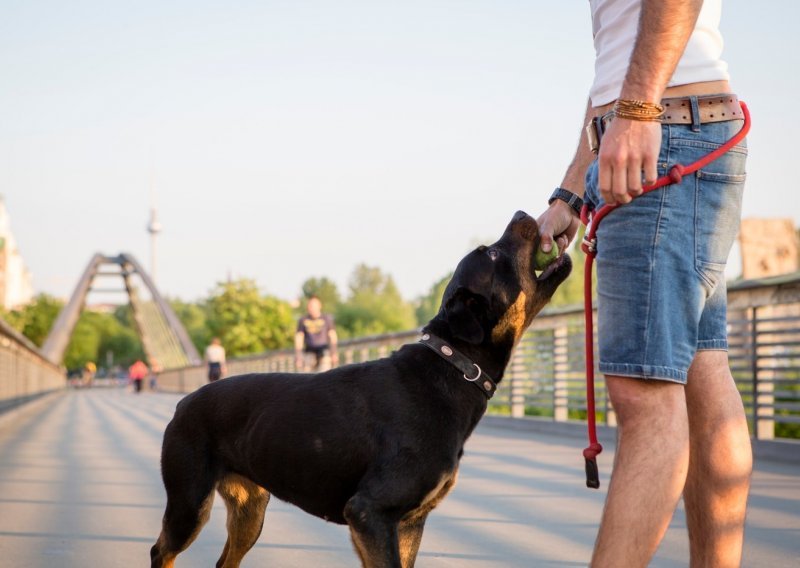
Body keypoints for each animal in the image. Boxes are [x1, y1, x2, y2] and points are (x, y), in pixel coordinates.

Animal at [152, 211, 568, 564]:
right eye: (493, 253)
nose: (522, 213)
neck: (452, 365)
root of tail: (182, 404)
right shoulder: (371, 512)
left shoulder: (407, 523)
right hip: (190, 503)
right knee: (161, 551)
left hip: (249, 511)